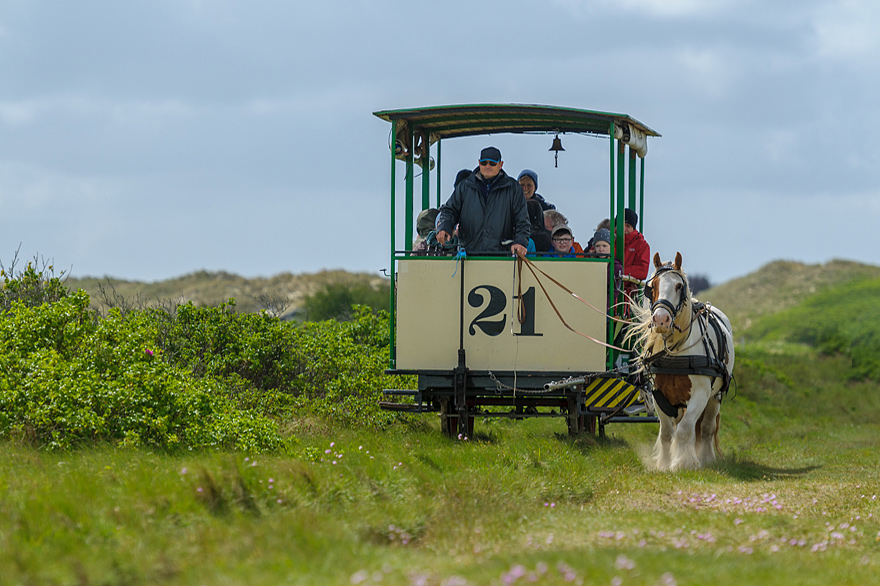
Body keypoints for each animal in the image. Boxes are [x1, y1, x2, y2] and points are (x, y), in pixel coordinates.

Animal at [628, 251, 732, 470]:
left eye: (678, 286)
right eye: (653, 286)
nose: (661, 320)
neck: (676, 353)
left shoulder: (700, 395)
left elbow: (685, 429)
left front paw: (684, 463)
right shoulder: (659, 396)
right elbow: (667, 433)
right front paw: (665, 464)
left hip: (715, 397)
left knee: (707, 427)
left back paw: (705, 458)